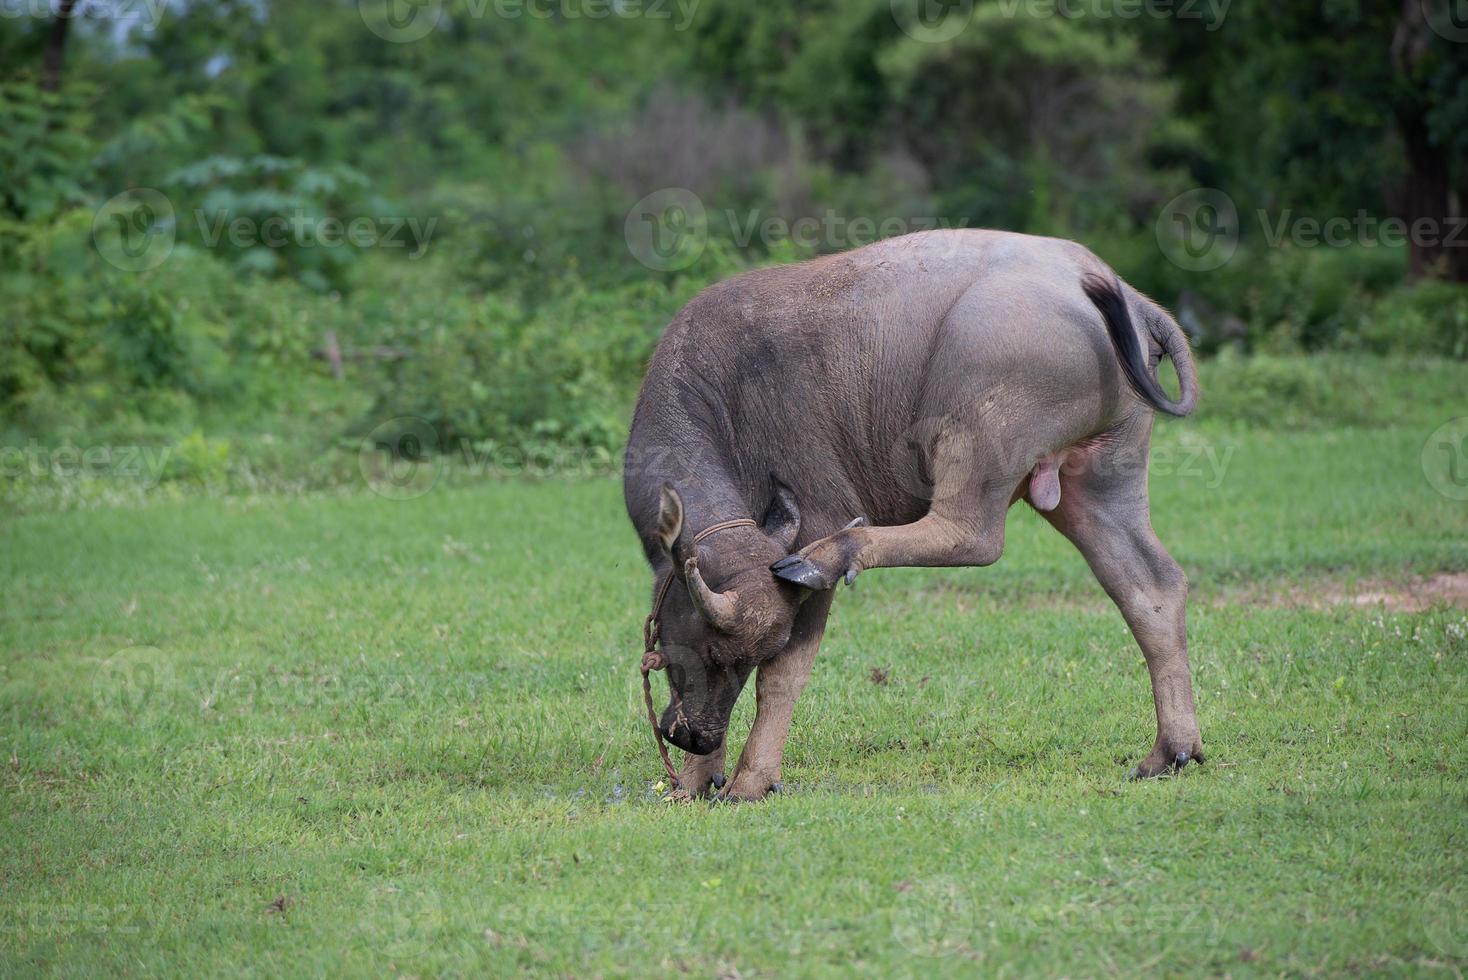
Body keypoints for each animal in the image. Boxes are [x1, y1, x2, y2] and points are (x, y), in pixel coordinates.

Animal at [622, 231, 1203, 803]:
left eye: (723, 654)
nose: (696, 737)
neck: (721, 398)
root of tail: (1114, 288)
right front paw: (698, 779)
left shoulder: (815, 521)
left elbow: (784, 676)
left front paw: (748, 780)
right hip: (1099, 478)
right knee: (1149, 587)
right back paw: (1171, 749)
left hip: (973, 437)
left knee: (972, 536)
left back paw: (835, 555)